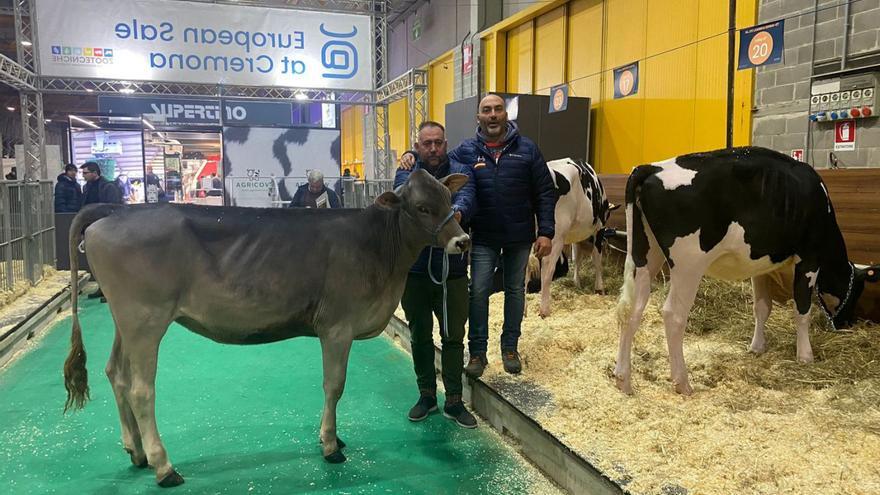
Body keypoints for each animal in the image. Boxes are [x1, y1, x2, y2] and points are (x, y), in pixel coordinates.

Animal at [536, 157, 620, 316]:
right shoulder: (599, 229)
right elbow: (596, 259)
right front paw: (599, 288)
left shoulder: (575, 236)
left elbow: (577, 258)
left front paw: (577, 283)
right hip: (555, 237)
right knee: (547, 268)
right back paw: (544, 309)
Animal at [616, 146, 880, 396]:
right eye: (857, 291)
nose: (847, 324)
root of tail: (652, 167)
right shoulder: (809, 259)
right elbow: (802, 310)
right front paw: (805, 356)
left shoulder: (760, 266)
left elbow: (761, 308)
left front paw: (756, 347)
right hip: (688, 264)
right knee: (673, 314)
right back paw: (683, 382)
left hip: (645, 255)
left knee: (632, 308)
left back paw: (623, 379)